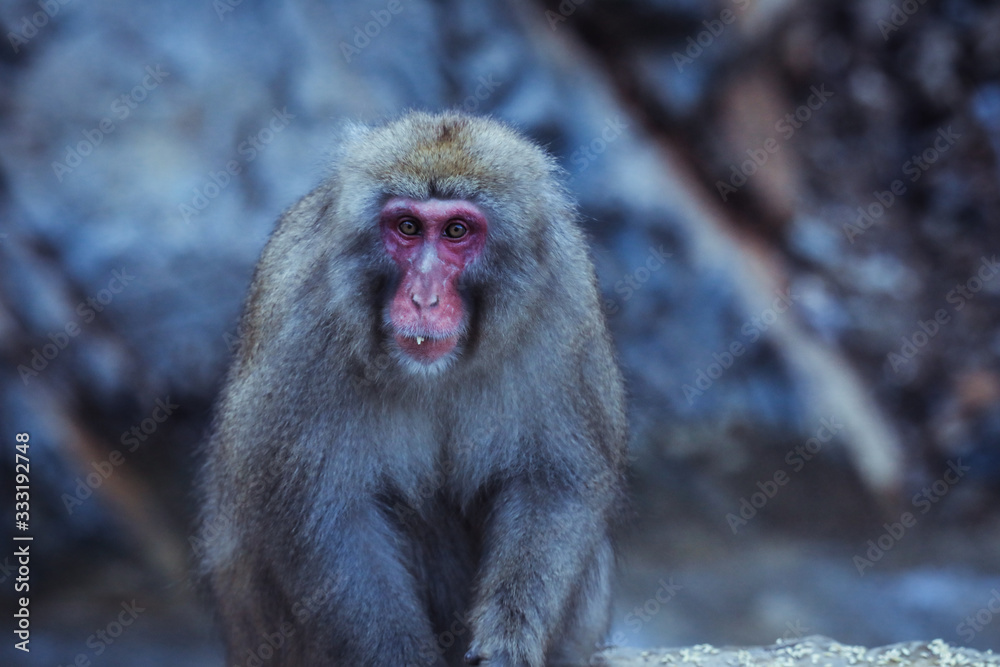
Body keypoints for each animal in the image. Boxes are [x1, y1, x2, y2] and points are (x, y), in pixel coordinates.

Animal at [196, 111, 628, 667]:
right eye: (407, 227)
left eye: (456, 230)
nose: (424, 298)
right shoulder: (300, 309)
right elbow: (326, 516)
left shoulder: (564, 297)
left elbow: (553, 482)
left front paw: (509, 639)